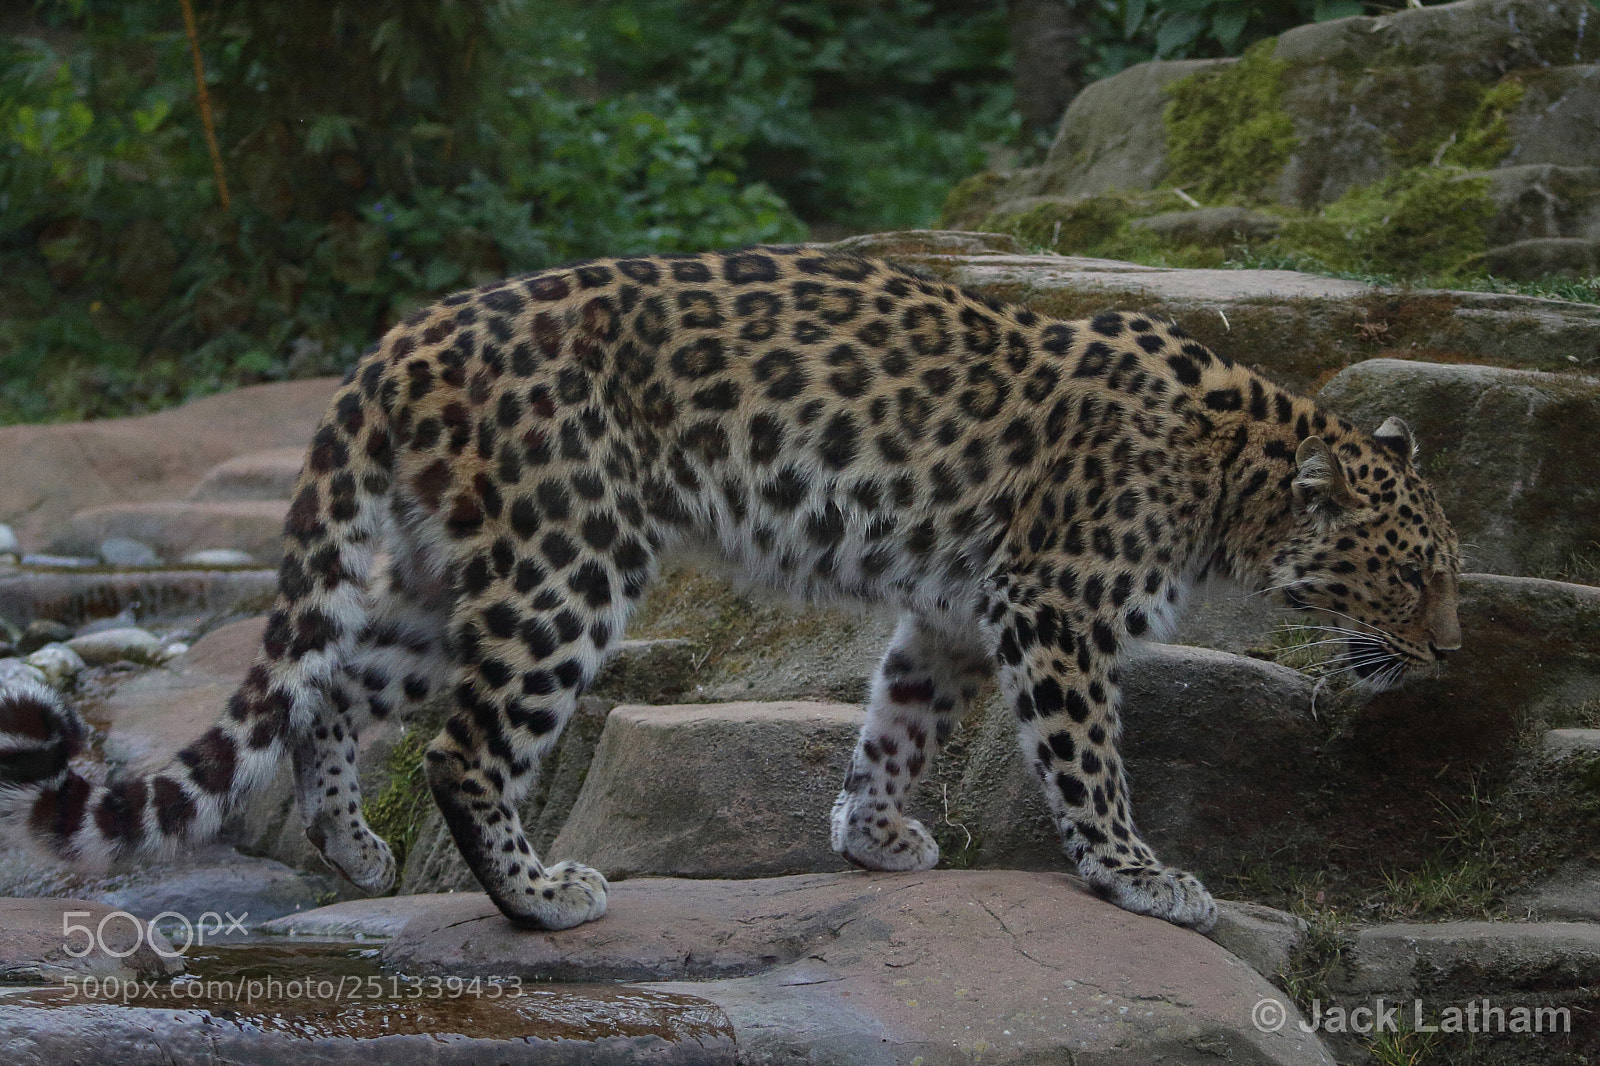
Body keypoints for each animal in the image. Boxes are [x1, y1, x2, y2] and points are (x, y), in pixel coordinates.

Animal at [0, 245, 1461, 934]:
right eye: (1412, 572)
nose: (1451, 653)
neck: (1238, 481)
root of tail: (406, 335)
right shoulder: (1055, 612)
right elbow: (1091, 762)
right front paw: (1145, 878)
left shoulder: (951, 612)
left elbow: (897, 724)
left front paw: (874, 836)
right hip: (568, 559)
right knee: (471, 743)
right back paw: (541, 896)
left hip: (437, 571)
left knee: (338, 691)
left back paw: (354, 850)